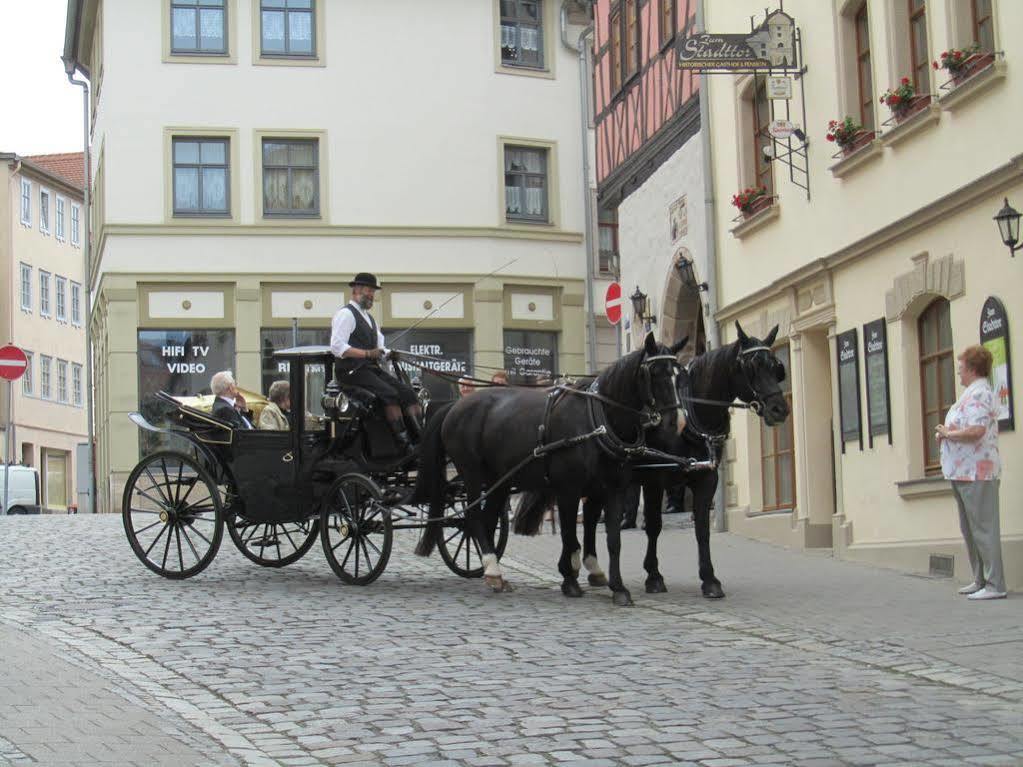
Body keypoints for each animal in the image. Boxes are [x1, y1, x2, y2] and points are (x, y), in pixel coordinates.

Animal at [413, 335, 687, 605]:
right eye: (654, 373)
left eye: (679, 373)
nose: (676, 423)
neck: (596, 420)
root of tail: (454, 406)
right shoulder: (569, 489)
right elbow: (569, 534)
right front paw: (570, 578)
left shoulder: (611, 489)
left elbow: (612, 539)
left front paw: (617, 587)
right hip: (472, 473)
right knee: (473, 517)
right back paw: (492, 569)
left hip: (499, 480)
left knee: (487, 518)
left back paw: (493, 570)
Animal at [519, 321, 789, 605]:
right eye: (751, 366)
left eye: (775, 366)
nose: (779, 409)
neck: (692, 421)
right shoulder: (654, 479)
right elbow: (654, 526)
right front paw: (654, 576)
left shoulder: (707, 479)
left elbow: (702, 530)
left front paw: (709, 579)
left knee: (591, 516)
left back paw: (594, 569)